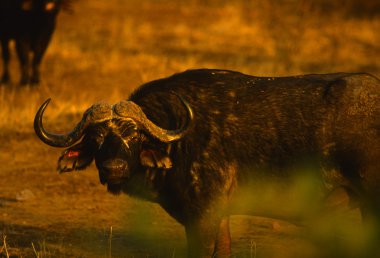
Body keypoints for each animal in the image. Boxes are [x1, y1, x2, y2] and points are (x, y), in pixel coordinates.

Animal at [34, 69, 378, 256]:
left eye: (134, 135)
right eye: (95, 137)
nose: (113, 169)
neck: (178, 139)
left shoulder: (202, 216)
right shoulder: (220, 215)